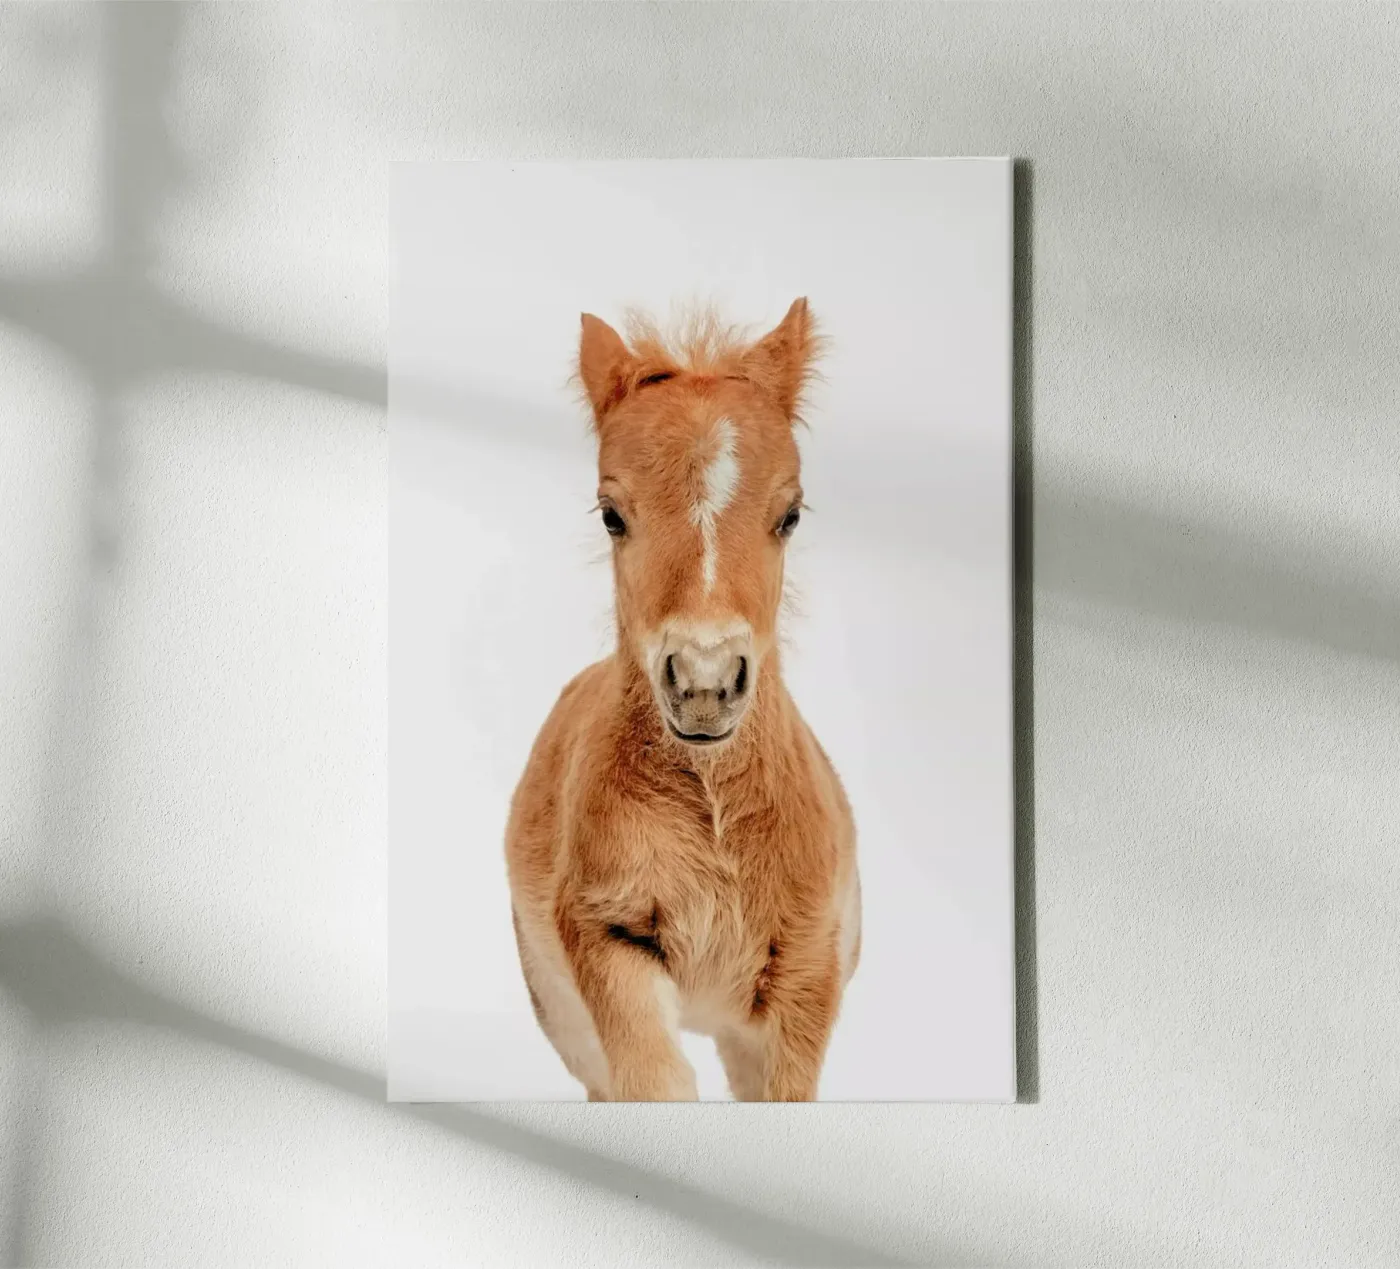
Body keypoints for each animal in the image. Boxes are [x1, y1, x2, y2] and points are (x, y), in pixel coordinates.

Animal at [504, 298, 860, 1101]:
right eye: (611, 513)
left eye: (791, 514)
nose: (703, 683)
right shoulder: (607, 938)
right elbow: (654, 1084)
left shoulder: (806, 974)